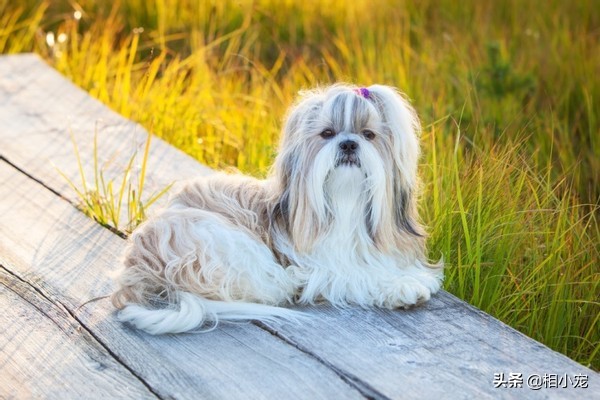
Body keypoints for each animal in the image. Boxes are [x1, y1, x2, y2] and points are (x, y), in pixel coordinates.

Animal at [111, 83, 440, 334]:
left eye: (368, 135)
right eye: (328, 133)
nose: (348, 144)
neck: (345, 204)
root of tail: (136, 266)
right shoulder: (320, 268)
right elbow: (355, 276)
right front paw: (402, 287)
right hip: (211, 234)